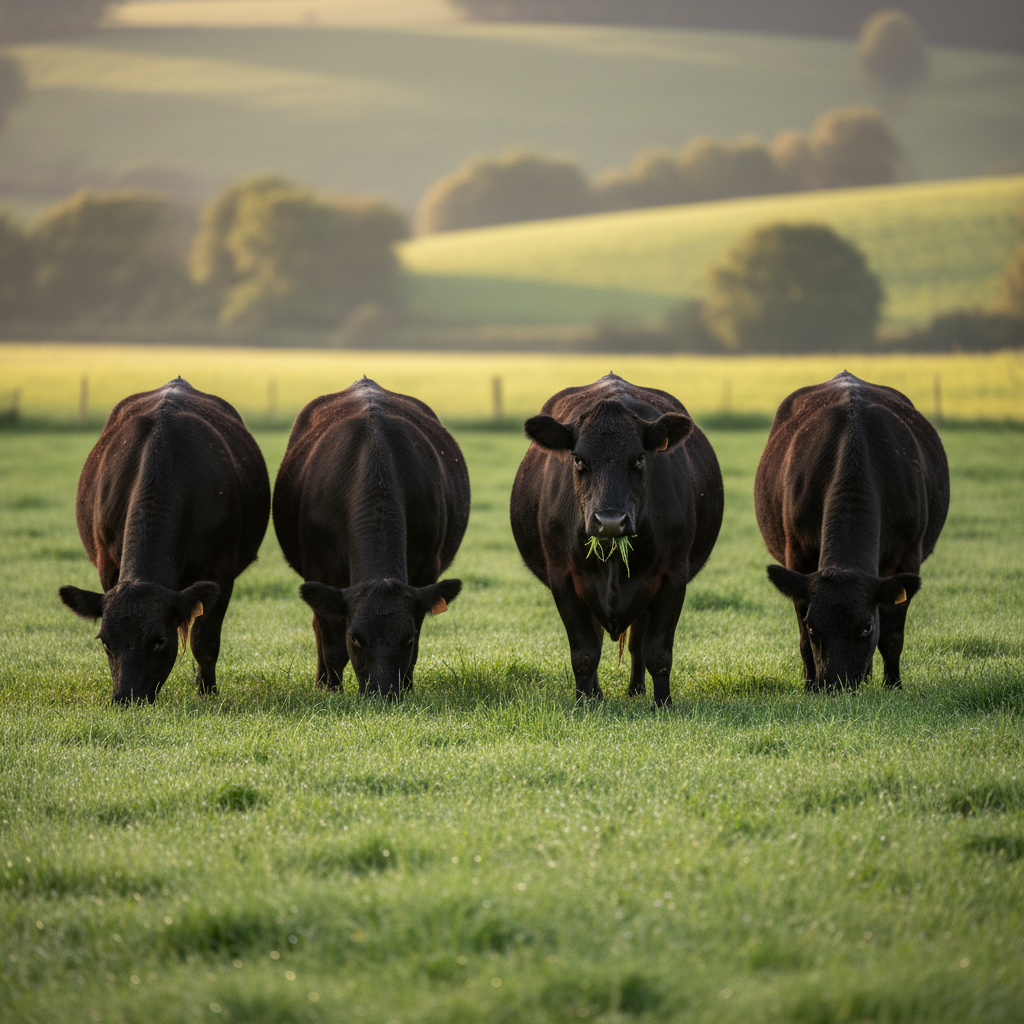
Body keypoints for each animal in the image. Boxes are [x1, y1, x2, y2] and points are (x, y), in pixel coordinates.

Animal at [59, 378, 270, 704]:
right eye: (105, 641)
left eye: (159, 641)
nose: (126, 698)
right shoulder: (107, 566)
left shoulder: (221, 572)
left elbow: (204, 639)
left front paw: (207, 693)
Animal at [272, 378, 469, 699]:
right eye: (356, 638)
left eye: (407, 639)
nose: (383, 693)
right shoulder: (321, 571)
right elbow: (332, 645)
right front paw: (332, 691)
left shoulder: (426, 570)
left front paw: (408, 688)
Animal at [509, 373, 723, 707]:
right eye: (578, 459)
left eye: (639, 459)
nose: (610, 521)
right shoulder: (563, 578)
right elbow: (585, 652)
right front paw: (584, 702)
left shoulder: (672, 576)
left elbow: (657, 652)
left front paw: (663, 703)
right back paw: (596, 694)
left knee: (637, 645)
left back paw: (635, 690)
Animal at [754, 370, 949, 692]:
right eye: (813, 626)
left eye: (866, 627)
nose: (836, 685)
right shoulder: (798, 556)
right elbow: (803, 641)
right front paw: (809, 686)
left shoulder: (907, 557)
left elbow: (892, 636)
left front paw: (893, 686)